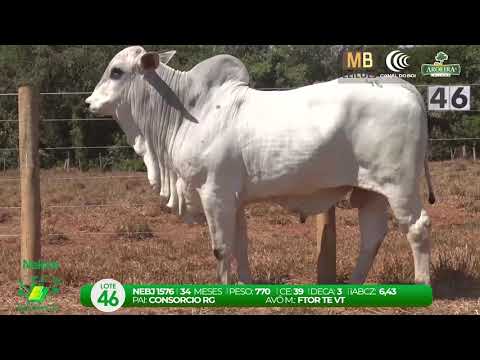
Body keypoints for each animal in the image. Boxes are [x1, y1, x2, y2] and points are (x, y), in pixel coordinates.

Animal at [85, 46, 436, 286]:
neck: (188, 111)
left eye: (116, 71)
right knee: (372, 236)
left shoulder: (214, 193)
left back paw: (421, 284)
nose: (89, 103)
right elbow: (241, 245)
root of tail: (401, 86)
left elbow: (221, 247)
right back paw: (354, 285)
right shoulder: (235, 200)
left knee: (417, 228)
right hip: (371, 190)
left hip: (400, 186)